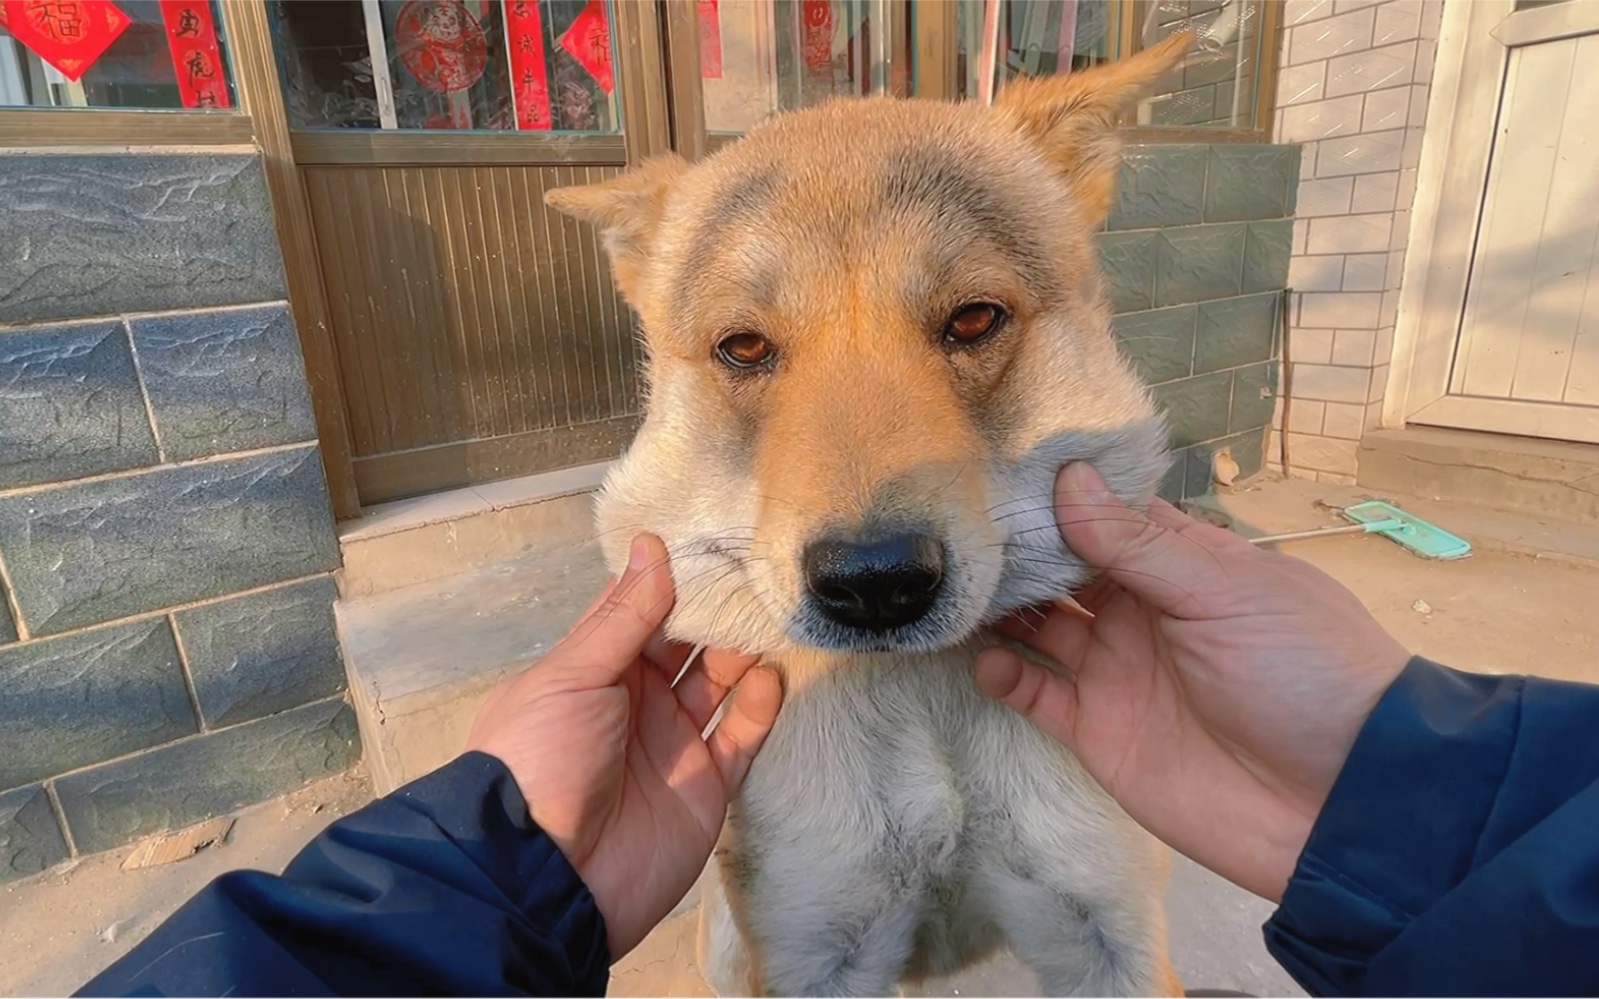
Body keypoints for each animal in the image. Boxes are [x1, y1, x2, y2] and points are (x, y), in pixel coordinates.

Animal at [550, 33, 1189, 997]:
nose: (876, 584)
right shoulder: (813, 950)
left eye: (973, 319)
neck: (921, 703)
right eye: (743, 346)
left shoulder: (1108, 930)